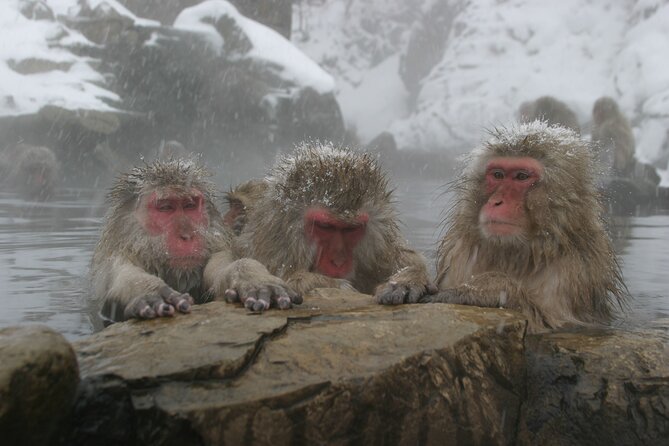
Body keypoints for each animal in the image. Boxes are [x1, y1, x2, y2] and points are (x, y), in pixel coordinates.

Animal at [90, 158, 301, 322]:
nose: (187, 235)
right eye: (166, 208)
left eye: (190, 205)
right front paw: (148, 290)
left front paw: (253, 278)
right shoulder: (117, 258)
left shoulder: (218, 250)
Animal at [238, 141, 435, 303]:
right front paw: (333, 285)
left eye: (351, 229)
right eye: (325, 226)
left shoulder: (382, 253)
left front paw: (407, 279)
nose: (338, 261)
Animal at [402, 122, 627, 333]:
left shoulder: (573, 271)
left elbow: (548, 322)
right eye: (498, 175)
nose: (496, 202)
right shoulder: (460, 254)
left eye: (521, 177)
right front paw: (411, 278)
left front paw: (484, 288)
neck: (517, 253)